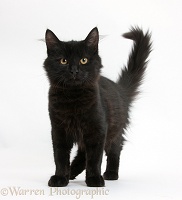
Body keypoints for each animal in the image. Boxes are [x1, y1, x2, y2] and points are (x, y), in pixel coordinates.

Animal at [43, 27, 151, 188]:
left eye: (84, 60)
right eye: (63, 61)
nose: (74, 71)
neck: (74, 98)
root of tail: (120, 89)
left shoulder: (98, 129)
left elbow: (94, 158)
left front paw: (94, 179)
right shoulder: (58, 129)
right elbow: (60, 156)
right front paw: (60, 177)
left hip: (114, 130)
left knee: (114, 150)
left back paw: (111, 173)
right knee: (82, 155)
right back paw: (71, 172)